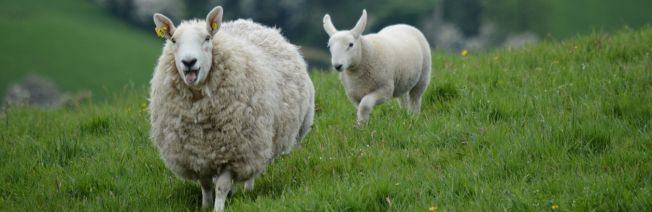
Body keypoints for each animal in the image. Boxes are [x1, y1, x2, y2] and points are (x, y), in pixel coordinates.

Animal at [151, 5, 318, 211]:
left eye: (207, 38)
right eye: (173, 40)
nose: (189, 62)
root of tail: (254, 24)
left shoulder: (234, 153)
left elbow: (221, 186)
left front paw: (218, 207)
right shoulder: (196, 154)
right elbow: (205, 184)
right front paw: (206, 205)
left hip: (258, 140)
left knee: (255, 167)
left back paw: (247, 190)